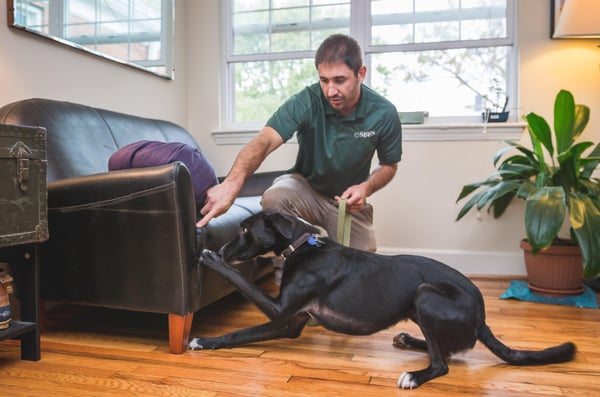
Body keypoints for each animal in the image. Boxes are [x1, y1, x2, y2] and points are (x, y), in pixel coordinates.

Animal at [189, 210, 576, 386]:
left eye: (243, 229)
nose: (222, 248)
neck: (302, 245)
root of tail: (482, 319)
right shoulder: (289, 323)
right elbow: (239, 333)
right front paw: (206, 341)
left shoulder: (281, 310)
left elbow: (241, 282)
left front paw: (211, 260)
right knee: (445, 349)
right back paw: (407, 339)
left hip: (425, 295)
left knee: (443, 363)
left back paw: (415, 376)